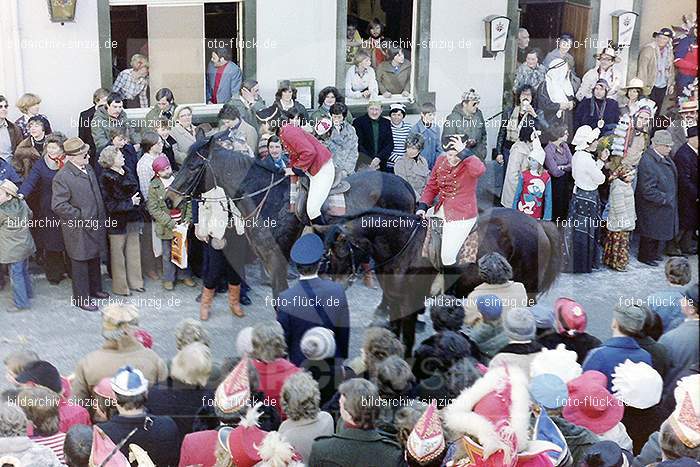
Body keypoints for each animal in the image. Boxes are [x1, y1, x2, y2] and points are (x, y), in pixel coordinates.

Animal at [318, 208, 564, 354]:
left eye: (339, 251)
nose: (338, 284)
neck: (405, 246)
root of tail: (538, 224)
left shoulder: (409, 302)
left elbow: (407, 340)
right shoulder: (394, 300)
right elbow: (394, 334)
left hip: (528, 290)